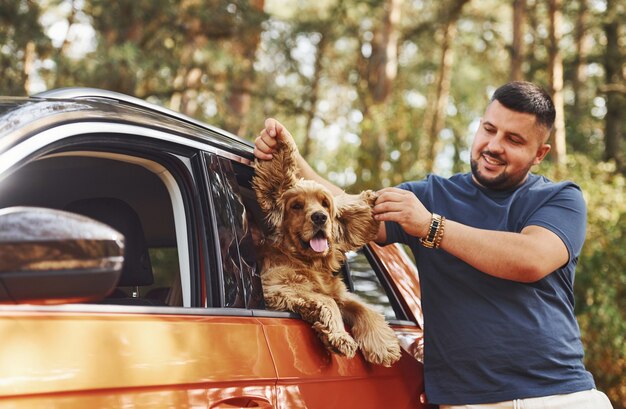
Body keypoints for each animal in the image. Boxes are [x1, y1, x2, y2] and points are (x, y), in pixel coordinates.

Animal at [250, 131, 400, 366]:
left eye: (325, 204)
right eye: (296, 206)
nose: (320, 217)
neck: (308, 262)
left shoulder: (338, 291)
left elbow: (362, 306)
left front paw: (382, 344)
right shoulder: (275, 287)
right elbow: (326, 300)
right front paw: (341, 338)